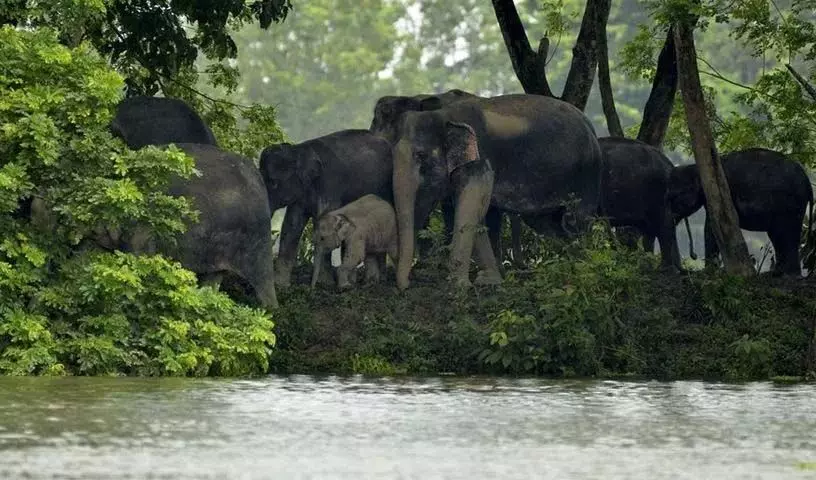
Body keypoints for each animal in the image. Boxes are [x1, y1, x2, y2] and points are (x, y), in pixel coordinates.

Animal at [258, 128, 392, 284]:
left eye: (273, 182)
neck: (298, 150)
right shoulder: (301, 194)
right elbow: (292, 224)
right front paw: (280, 284)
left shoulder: (329, 185)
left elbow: (325, 218)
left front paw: (325, 282)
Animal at [386, 93, 604, 288]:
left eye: (420, 155)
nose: (406, 285)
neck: (445, 115)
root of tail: (590, 125)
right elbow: (473, 213)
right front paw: (489, 280)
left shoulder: (480, 160)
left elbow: (469, 208)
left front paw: (458, 284)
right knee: (547, 223)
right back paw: (570, 266)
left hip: (588, 173)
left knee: (577, 219)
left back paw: (585, 269)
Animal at [668, 149, 812, 278]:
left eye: (673, 197)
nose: (693, 256)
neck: (695, 168)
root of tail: (808, 182)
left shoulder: (717, 194)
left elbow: (711, 226)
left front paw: (708, 272)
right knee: (779, 236)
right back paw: (778, 273)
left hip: (789, 204)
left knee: (786, 235)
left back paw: (789, 275)